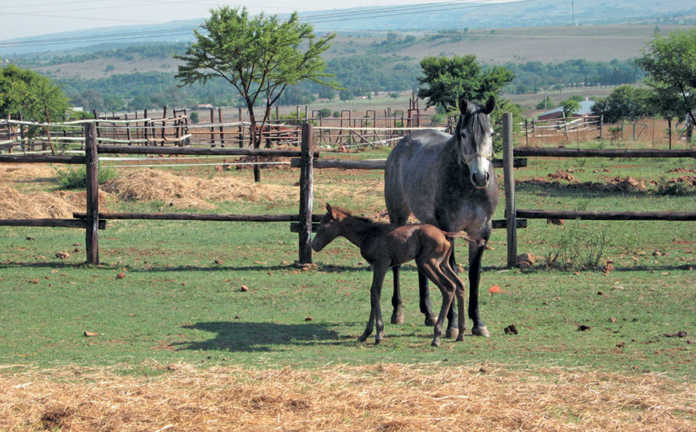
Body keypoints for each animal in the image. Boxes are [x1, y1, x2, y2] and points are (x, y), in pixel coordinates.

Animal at [311, 203, 470, 346]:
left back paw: (437, 336)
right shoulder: (375, 266)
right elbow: (374, 293)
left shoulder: (382, 263)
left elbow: (375, 292)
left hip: (427, 264)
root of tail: (444, 234)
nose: (314, 245)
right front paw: (365, 334)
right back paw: (460, 333)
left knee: (448, 288)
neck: (368, 234)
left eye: (323, 225)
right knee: (459, 285)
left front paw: (378, 334)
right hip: (443, 264)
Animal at [384, 95, 498, 338]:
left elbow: (474, 275)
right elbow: (452, 272)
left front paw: (478, 323)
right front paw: (453, 325)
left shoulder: (481, 232)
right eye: (463, 134)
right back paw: (398, 312)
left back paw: (429, 314)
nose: (480, 177)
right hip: (398, 215)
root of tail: (403, 142)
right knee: (396, 263)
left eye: (491, 133)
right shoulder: (450, 230)